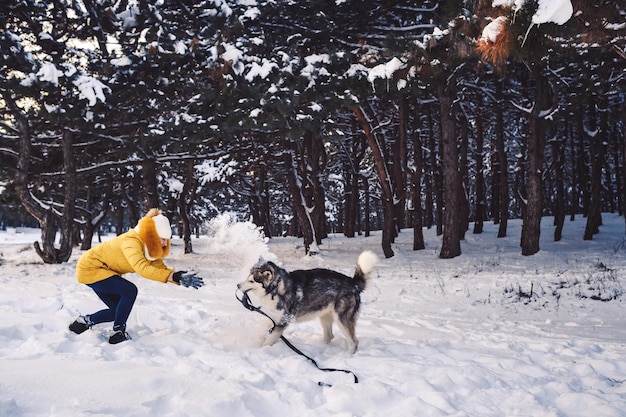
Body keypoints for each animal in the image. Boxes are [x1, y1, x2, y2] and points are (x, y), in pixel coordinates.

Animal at [238, 249, 376, 352]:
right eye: (247, 277)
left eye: (252, 280)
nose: (238, 285)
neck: (276, 289)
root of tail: (353, 283)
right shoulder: (271, 318)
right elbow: (262, 332)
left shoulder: (281, 323)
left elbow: (267, 342)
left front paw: (260, 350)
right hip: (325, 316)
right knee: (329, 336)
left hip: (342, 319)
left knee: (354, 342)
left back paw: (347, 356)